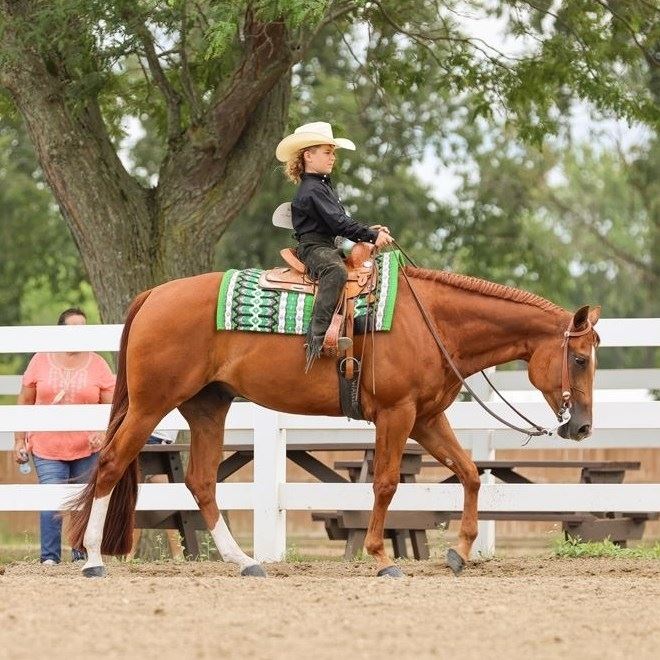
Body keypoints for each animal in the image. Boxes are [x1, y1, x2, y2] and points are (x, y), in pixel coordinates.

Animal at [69, 263, 600, 578]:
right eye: (578, 359)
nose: (581, 428)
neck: (432, 322)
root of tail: (154, 295)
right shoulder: (396, 414)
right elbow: (385, 482)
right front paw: (381, 557)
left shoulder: (426, 418)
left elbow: (469, 473)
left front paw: (460, 551)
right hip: (150, 404)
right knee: (110, 464)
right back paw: (93, 559)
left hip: (207, 407)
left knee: (201, 482)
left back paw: (244, 562)